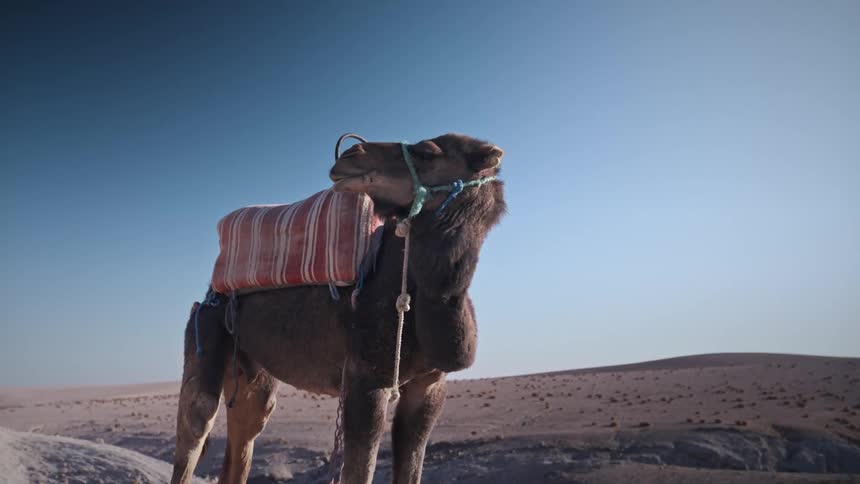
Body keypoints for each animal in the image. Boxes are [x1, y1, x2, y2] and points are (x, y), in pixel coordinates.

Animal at [170, 133, 506, 484]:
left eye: (427, 152)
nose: (350, 152)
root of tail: (210, 292)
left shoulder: (429, 384)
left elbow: (410, 466)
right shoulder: (365, 376)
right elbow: (360, 468)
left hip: (252, 372)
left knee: (245, 434)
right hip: (204, 329)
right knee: (197, 423)